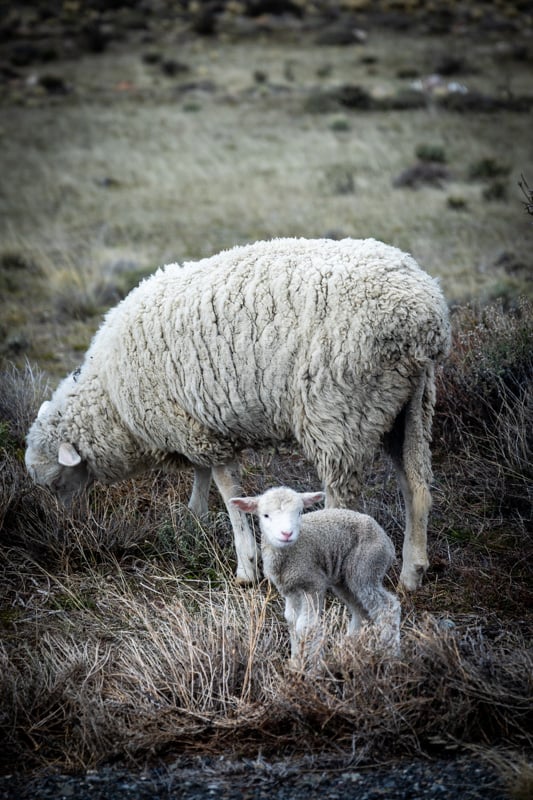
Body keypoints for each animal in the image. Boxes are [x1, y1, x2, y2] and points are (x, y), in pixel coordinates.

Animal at [25, 237, 451, 589]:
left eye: (56, 480)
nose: (65, 526)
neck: (111, 400)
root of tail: (424, 317)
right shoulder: (197, 426)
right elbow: (202, 478)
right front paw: (194, 519)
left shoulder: (201, 433)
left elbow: (229, 494)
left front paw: (246, 567)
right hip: (408, 407)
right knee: (416, 487)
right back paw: (412, 572)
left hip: (339, 411)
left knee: (343, 496)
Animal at [230, 487, 401, 664]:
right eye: (265, 515)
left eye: (299, 512)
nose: (287, 533)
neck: (289, 555)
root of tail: (387, 541)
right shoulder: (290, 589)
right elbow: (291, 620)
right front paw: (295, 659)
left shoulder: (312, 583)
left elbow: (305, 625)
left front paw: (311, 664)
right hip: (345, 581)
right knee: (361, 610)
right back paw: (351, 647)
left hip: (367, 567)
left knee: (388, 607)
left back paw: (391, 653)